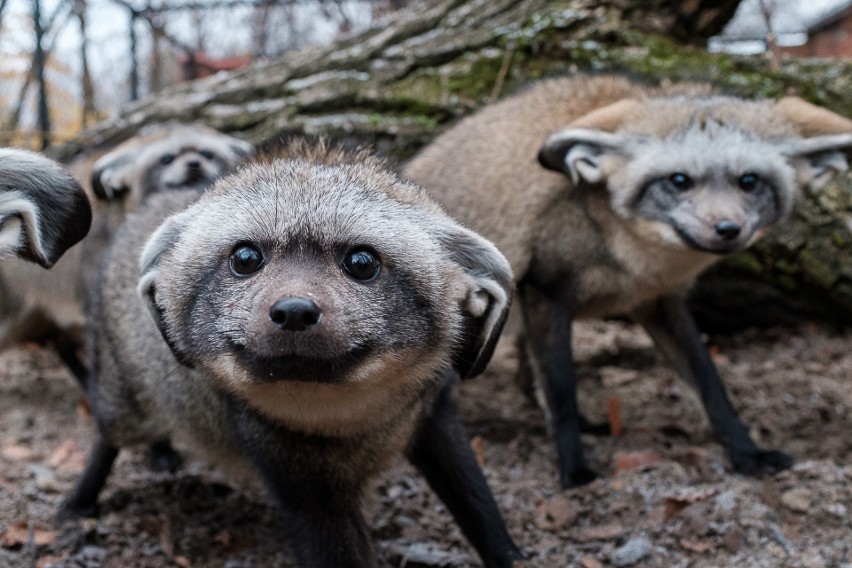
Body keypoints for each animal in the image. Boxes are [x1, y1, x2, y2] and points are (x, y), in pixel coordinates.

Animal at [404, 76, 852, 488]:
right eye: (679, 181)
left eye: (749, 181)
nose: (728, 229)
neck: (633, 261)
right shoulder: (546, 292)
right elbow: (563, 391)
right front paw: (575, 471)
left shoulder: (658, 303)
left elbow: (711, 385)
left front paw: (746, 452)